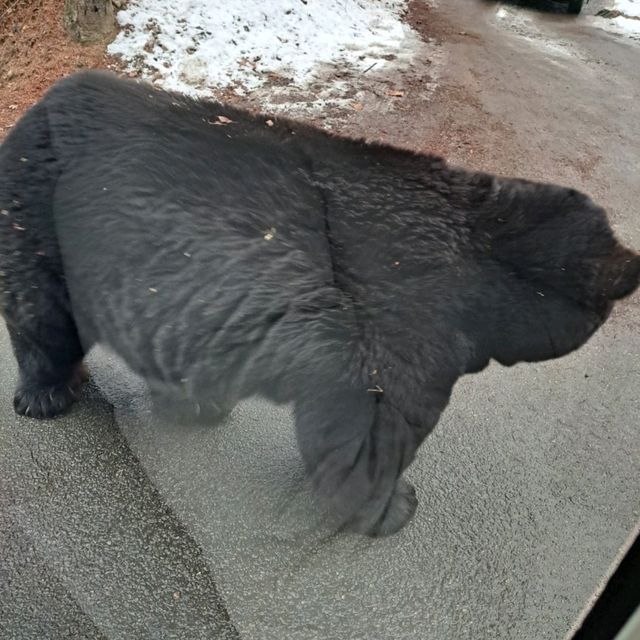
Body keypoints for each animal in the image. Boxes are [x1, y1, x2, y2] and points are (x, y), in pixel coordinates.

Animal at [1, 71, 640, 536]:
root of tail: (37, 106)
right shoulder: (399, 327)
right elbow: (368, 423)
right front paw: (390, 505)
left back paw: (193, 403)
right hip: (44, 220)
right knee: (43, 316)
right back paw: (45, 393)